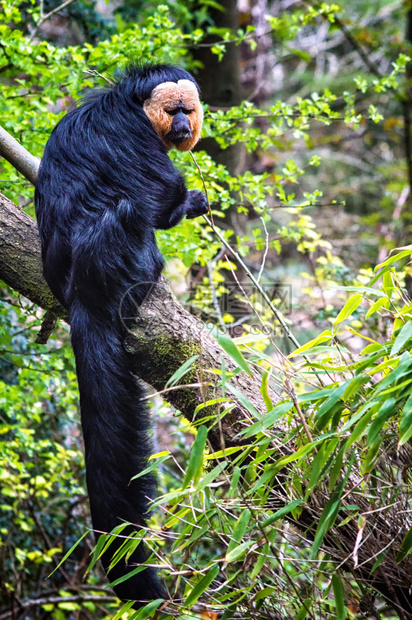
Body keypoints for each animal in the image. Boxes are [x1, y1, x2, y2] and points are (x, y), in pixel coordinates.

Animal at [34, 65, 209, 608]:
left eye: (187, 109)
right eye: (173, 109)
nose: (182, 125)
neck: (130, 105)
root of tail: (81, 292)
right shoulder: (133, 136)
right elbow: (160, 198)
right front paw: (188, 202)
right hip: (118, 258)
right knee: (132, 211)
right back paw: (151, 271)